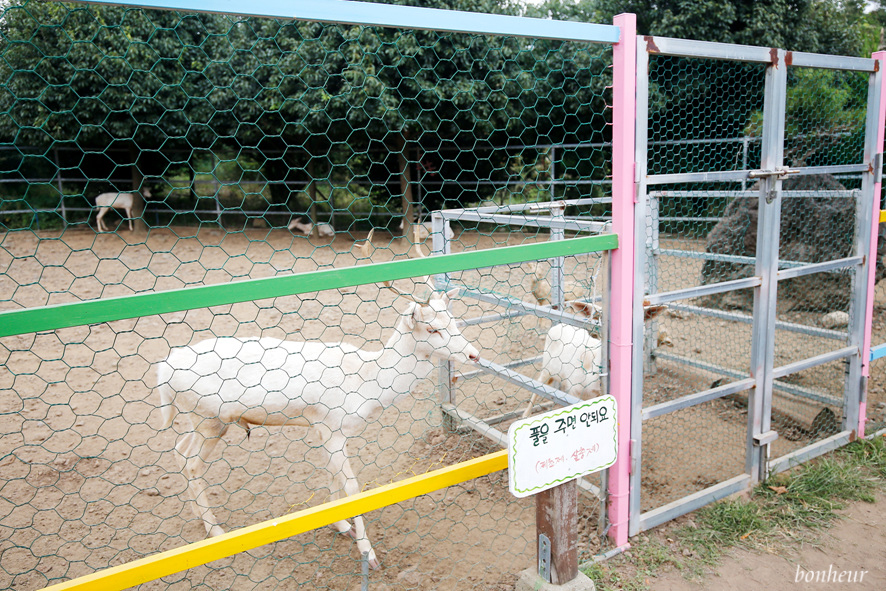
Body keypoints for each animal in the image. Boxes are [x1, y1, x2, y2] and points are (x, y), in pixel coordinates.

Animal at [156, 286, 482, 568]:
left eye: (453, 320)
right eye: (432, 329)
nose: (473, 355)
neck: (364, 382)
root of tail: (165, 367)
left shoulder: (325, 428)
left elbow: (331, 474)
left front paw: (341, 525)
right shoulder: (333, 425)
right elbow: (351, 485)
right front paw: (369, 553)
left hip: (203, 421)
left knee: (179, 451)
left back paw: (200, 518)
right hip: (209, 418)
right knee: (192, 462)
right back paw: (215, 530)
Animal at [520, 300, 664, 420]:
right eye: (599, 318)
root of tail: (559, 325)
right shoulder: (575, 390)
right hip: (547, 367)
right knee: (537, 387)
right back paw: (525, 415)